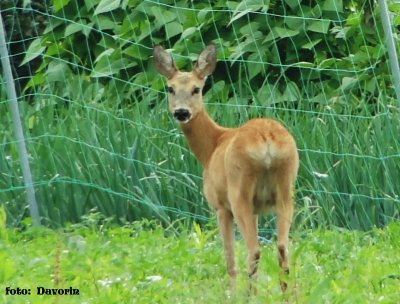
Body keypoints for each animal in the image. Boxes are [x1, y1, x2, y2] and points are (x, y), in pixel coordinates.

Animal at [153, 45, 300, 292]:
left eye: (196, 89)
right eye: (171, 88)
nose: (181, 112)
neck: (211, 147)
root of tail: (267, 139)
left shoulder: (219, 205)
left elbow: (229, 260)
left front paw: (230, 292)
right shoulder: (257, 209)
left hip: (239, 191)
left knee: (253, 251)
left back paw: (248, 295)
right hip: (287, 187)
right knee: (283, 249)